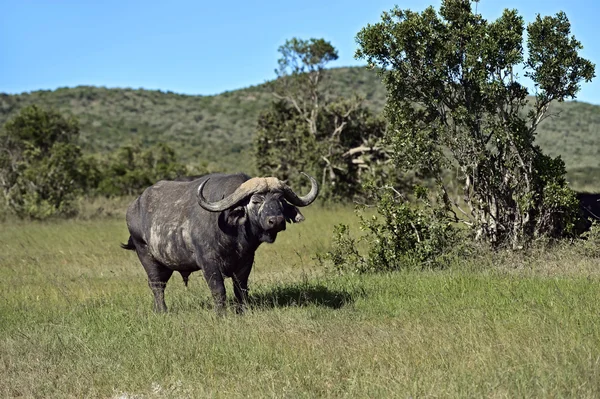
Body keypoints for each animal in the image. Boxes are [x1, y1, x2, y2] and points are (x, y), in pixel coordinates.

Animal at [121, 173, 318, 314]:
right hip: (146, 255)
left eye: (280, 200)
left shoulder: (246, 262)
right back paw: (163, 311)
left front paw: (241, 311)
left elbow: (241, 289)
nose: (276, 221)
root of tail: (133, 207)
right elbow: (218, 290)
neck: (235, 235)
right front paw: (220, 314)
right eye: (256, 200)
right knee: (157, 285)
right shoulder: (209, 263)